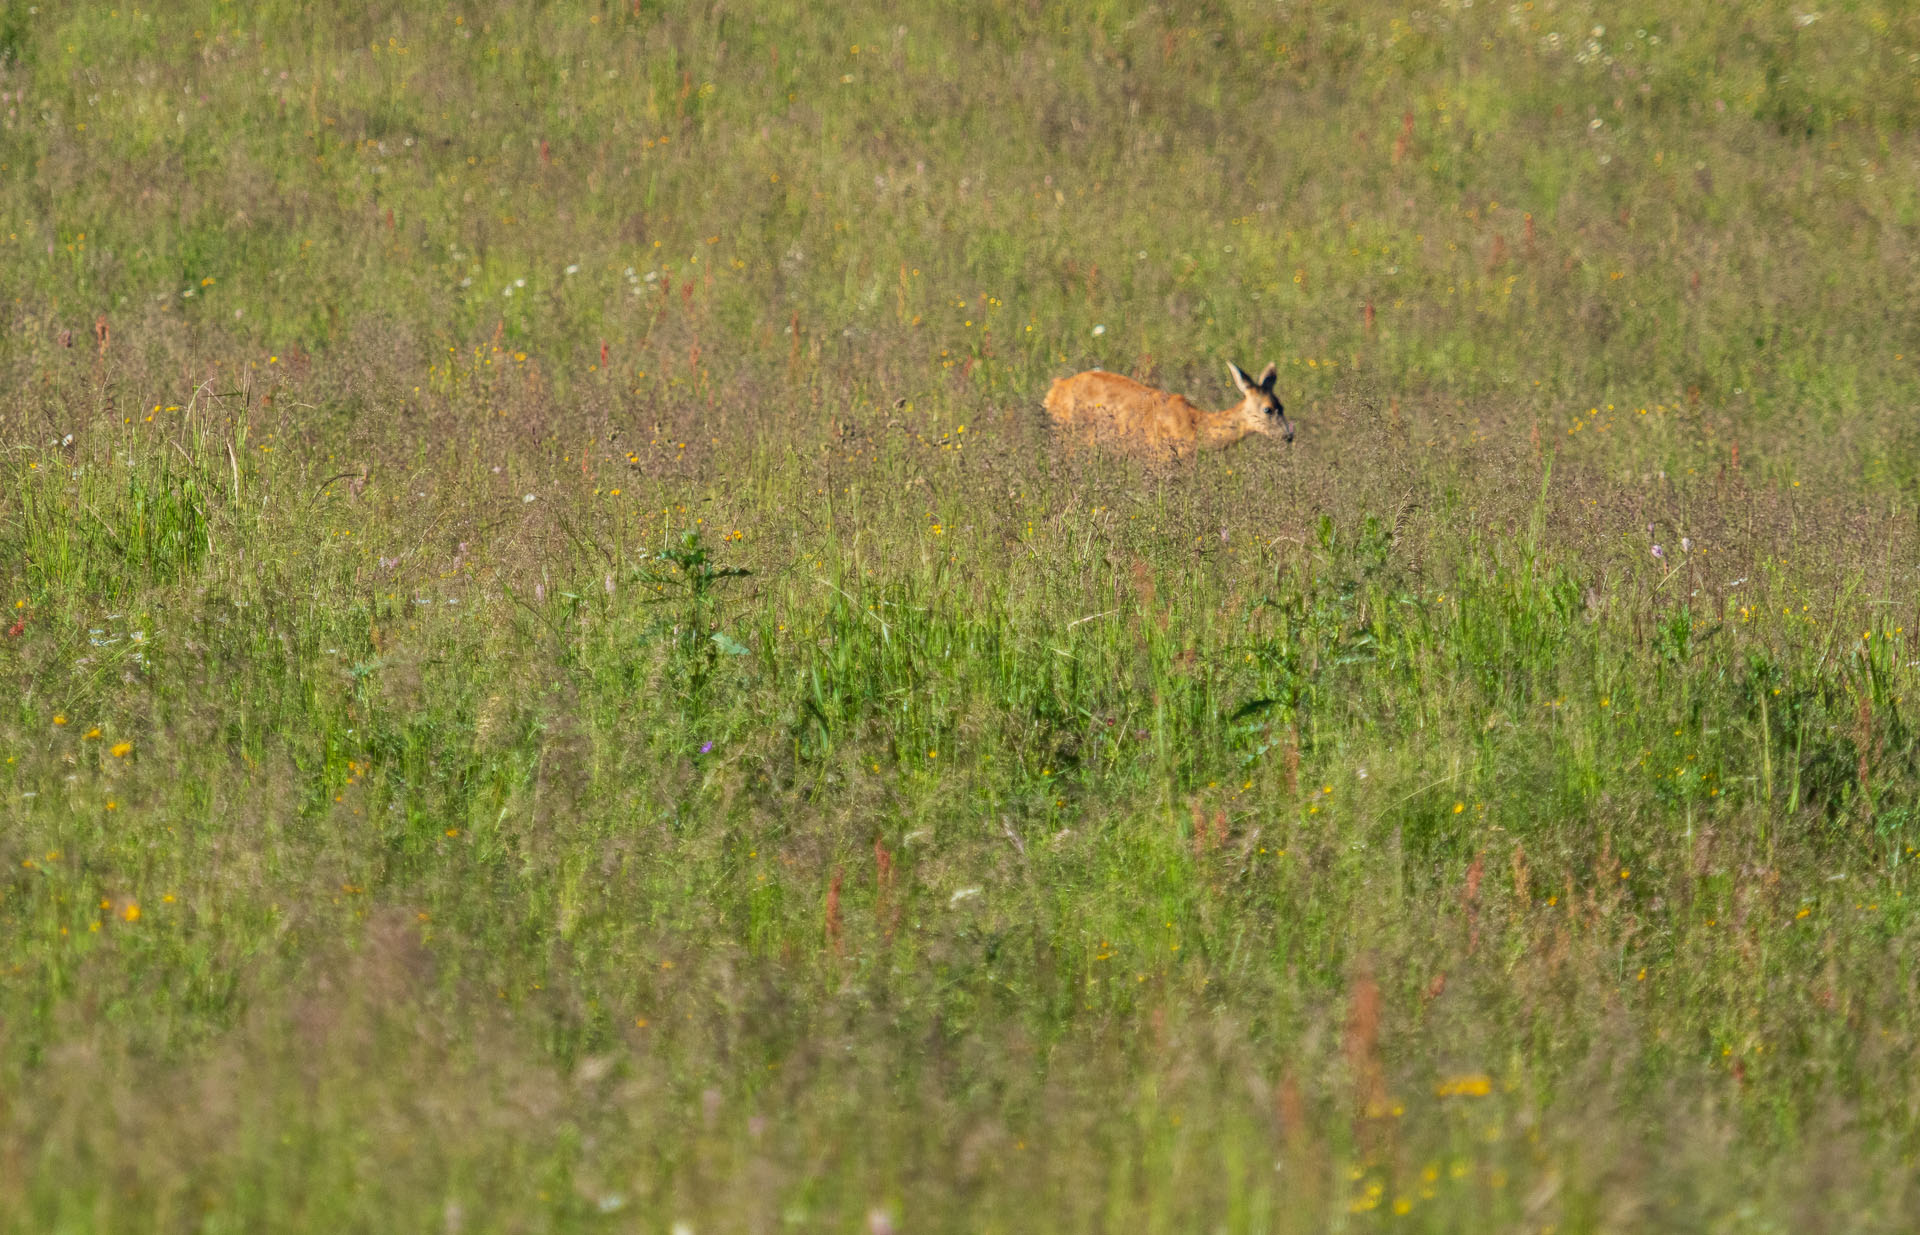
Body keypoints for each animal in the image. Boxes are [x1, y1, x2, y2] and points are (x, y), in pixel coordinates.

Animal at [1044, 359, 1297, 460]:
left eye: (1282, 405)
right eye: (1268, 409)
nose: (1289, 435)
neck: (1197, 426)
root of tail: (1055, 389)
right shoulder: (1161, 456)